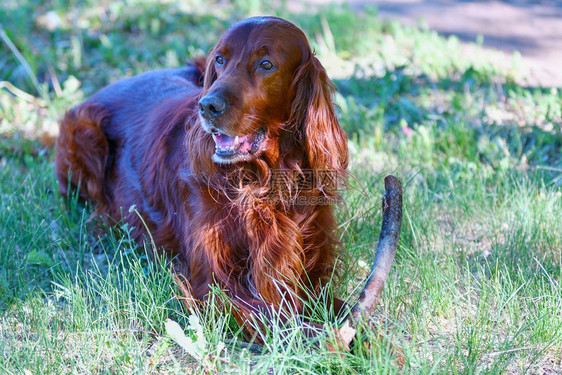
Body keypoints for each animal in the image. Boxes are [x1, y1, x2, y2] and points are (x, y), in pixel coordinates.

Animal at [55, 16, 346, 340]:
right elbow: (275, 317)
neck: (261, 182)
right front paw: (326, 337)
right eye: (220, 59)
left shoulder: (309, 274)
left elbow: (344, 307)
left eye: (266, 64)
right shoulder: (213, 284)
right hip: (85, 134)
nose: (208, 106)